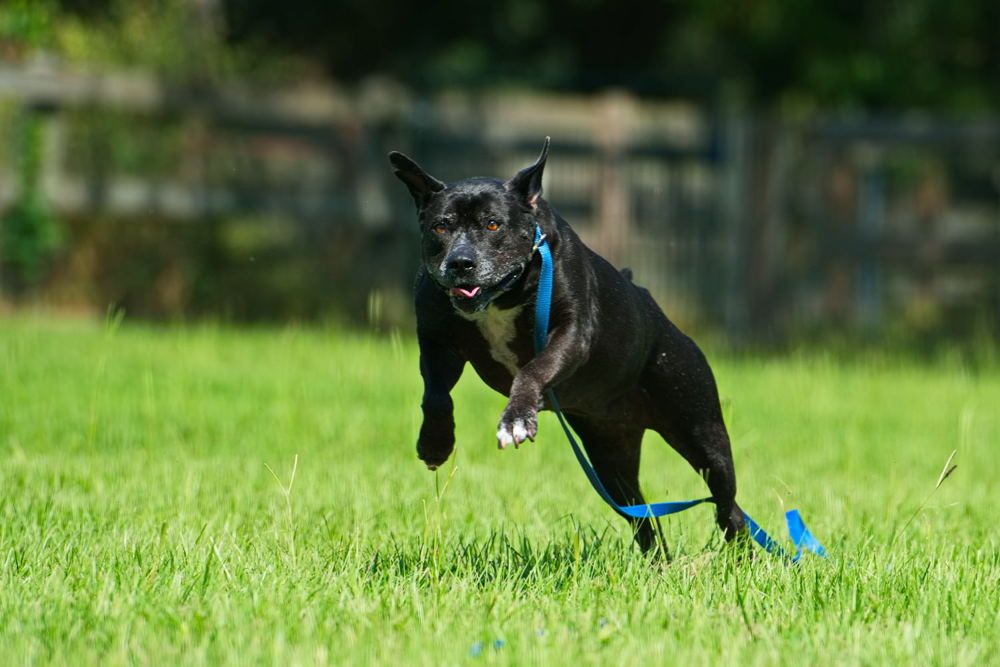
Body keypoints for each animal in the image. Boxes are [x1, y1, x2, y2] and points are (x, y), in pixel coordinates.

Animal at [386, 138, 748, 552]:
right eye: (440, 227)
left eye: (493, 224)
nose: (461, 262)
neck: (501, 296)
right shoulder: (435, 340)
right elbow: (435, 395)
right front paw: (435, 442)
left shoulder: (572, 333)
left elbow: (532, 369)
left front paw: (516, 419)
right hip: (610, 461)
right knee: (642, 516)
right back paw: (658, 559)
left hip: (700, 428)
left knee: (727, 503)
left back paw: (739, 551)